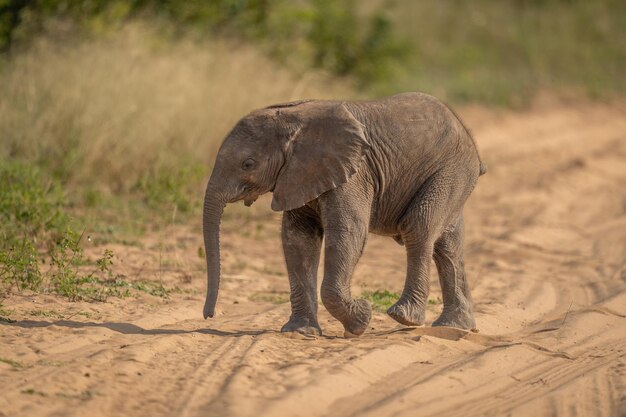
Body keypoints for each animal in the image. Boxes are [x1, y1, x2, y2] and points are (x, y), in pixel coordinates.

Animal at [202, 92, 486, 336]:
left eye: (247, 164)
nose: (209, 315)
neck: (292, 118)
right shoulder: (298, 175)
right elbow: (298, 239)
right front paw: (300, 332)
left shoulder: (354, 173)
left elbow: (348, 231)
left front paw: (361, 318)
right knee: (447, 245)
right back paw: (454, 326)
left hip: (451, 169)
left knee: (420, 227)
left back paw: (405, 317)